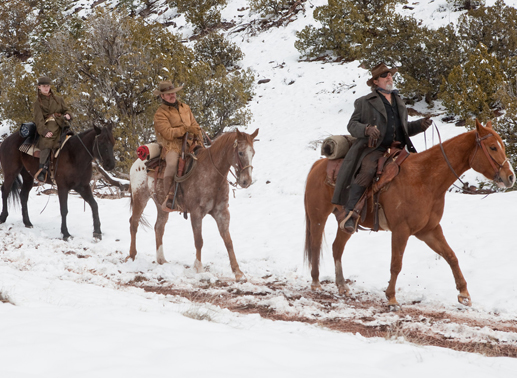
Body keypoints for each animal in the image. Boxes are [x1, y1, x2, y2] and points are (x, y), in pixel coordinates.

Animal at [129, 129, 258, 280]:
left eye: (253, 153)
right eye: (241, 153)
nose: (246, 181)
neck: (211, 173)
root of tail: (138, 163)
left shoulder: (222, 213)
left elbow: (228, 241)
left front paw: (237, 272)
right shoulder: (196, 214)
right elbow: (199, 241)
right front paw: (198, 268)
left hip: (161, 206)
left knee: (159, 227)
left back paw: (161, 260)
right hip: (140, 197)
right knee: (134, 223)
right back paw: (132, 255)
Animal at [304, 120, 512, 310]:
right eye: (492, 147)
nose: (510, 177)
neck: (424, 178)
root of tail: (318, 164)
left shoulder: (429, 230)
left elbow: (451, 256)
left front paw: (464, 294)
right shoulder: (401, 230)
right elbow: (396, 264)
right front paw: (391, 298)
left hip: (346, 223)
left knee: (337, 248)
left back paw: (342, 286)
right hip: (318, 217)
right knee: (315, 245)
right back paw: (315, 282)